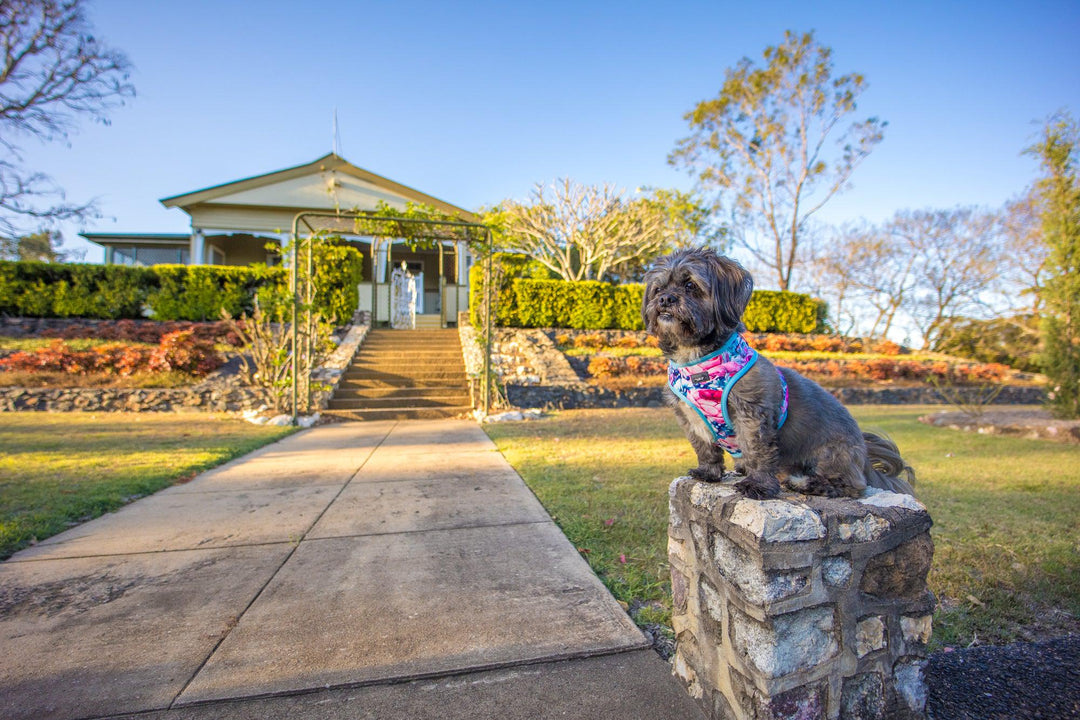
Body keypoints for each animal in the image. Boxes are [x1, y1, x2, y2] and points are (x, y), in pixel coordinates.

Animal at [643, 249, 915, 500]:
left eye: (690, 285)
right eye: (658, 289)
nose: (665, 299)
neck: (698, 362)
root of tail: (866, 460)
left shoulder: (752, 414)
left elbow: (757, 451)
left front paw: (758, 485)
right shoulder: (690, 417)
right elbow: (705, 448)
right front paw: (708, 473)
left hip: (832, 453)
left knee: (851, 485)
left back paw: (805, 483)